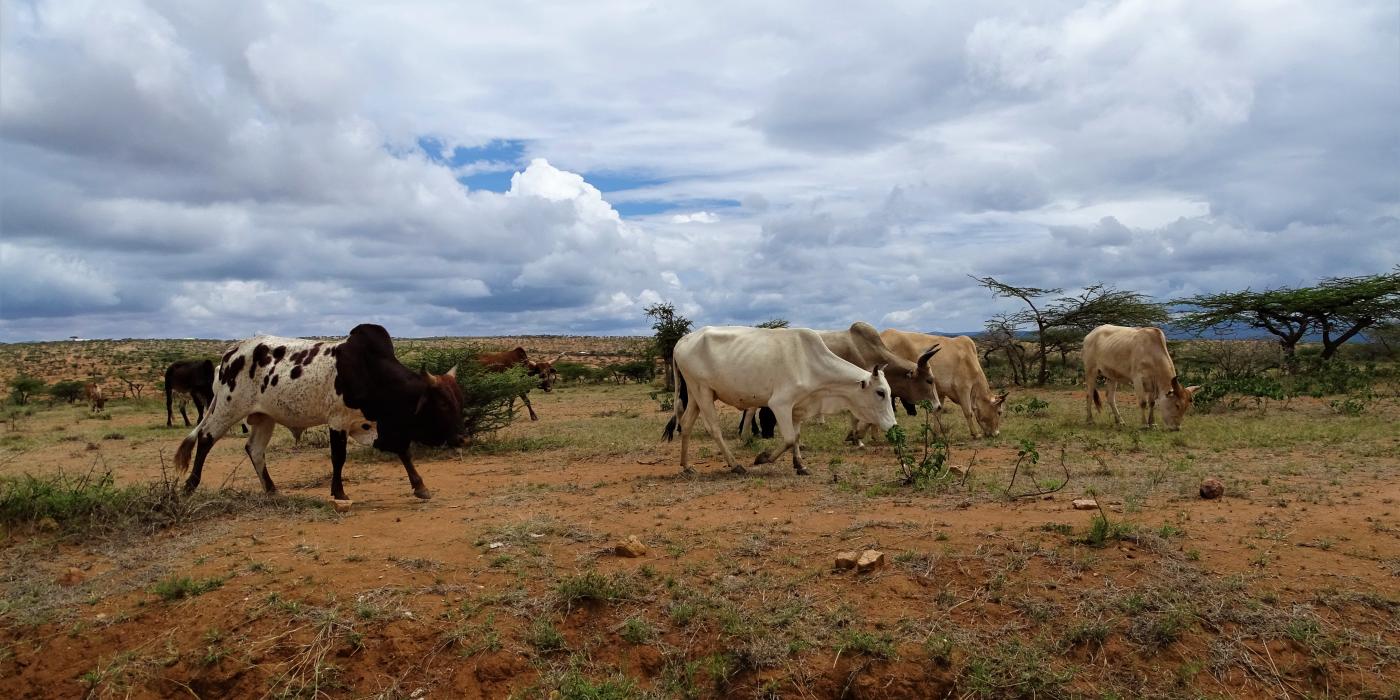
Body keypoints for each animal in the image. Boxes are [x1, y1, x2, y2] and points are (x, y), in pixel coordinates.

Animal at [658, 327, 896, 476]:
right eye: (880, 392)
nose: (893, 425)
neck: (811, 363)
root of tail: (682, 341)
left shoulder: (798, 407)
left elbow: (797, 436)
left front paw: (800, 465)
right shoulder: (780, 404)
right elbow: (789, 438)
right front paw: (763, 458)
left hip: (696, 394)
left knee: (686, 423)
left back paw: (686, 466)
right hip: (703, 391)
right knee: (713, 429)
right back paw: (735, 465)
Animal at [873, 329, 1008, 436]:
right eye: (999, 412)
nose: (997, 433)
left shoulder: (941, 392)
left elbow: (938, 412)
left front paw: (936, 434)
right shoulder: (963, 388)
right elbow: (968, 412)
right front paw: (975, 434)